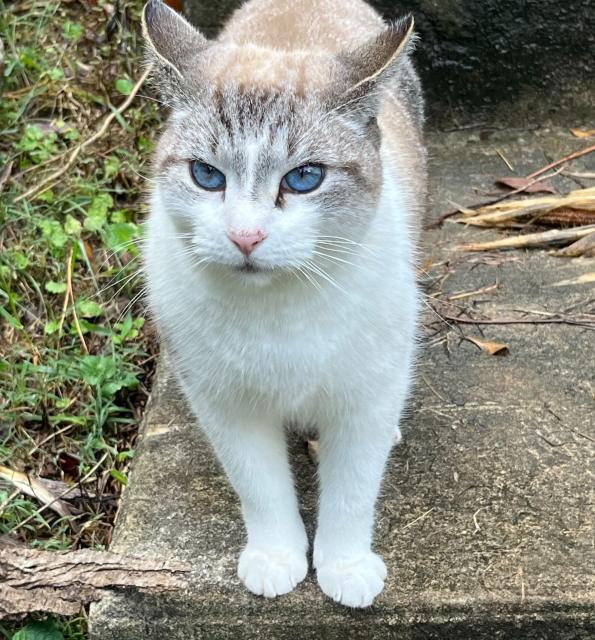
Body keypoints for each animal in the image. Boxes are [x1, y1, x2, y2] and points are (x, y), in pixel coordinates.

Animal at [142, 0, 426, 608]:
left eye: (304, 178)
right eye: (207, 176)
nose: (246, 236)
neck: (276, 311)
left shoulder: (364, 398)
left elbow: (352, 493)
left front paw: (345, 568)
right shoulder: (226, 404)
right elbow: (261, 487)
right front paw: (276, 558)